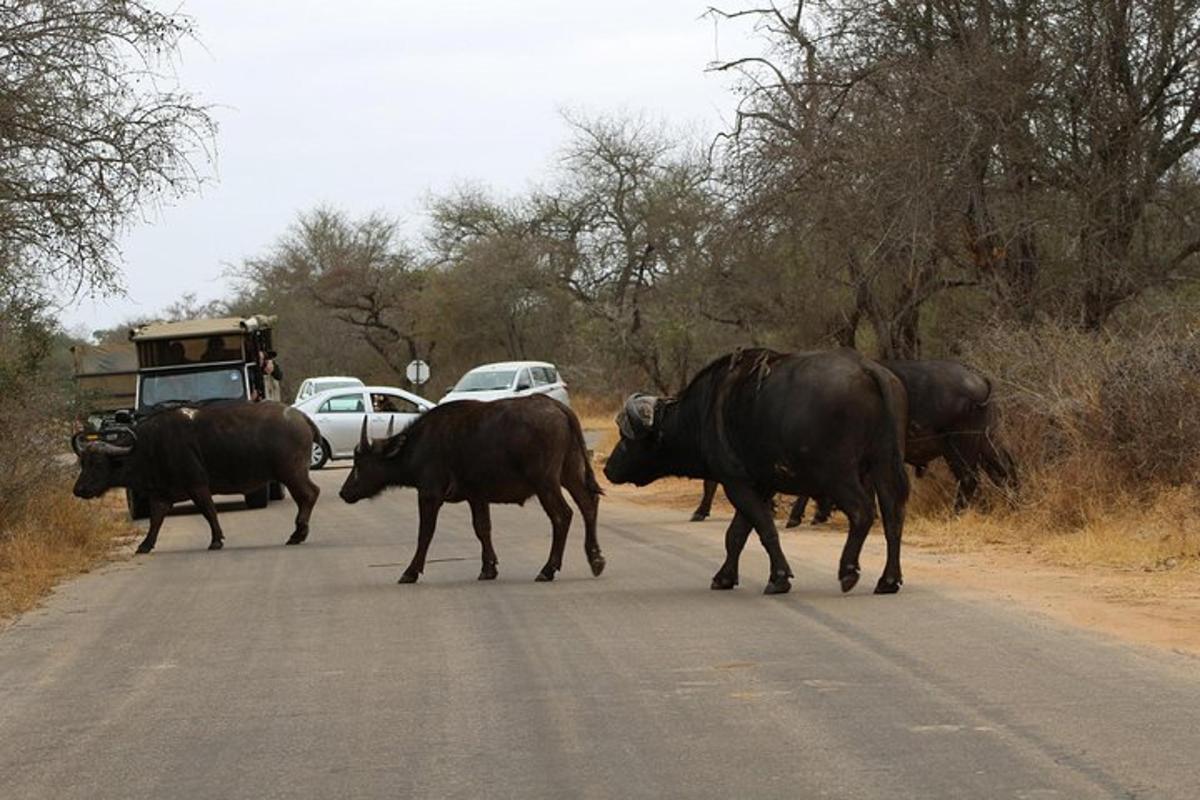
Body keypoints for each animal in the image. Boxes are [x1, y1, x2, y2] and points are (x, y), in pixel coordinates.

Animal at [73, 402, 321, 554]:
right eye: (82, 463)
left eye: (98, 464)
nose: (78, 490)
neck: (149, 446)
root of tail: (300, 416)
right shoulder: (161, 495)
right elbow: (156, 520)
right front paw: (145, 545)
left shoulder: (198, 486)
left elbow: (209, 512)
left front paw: (216, 540)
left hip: (292, 473)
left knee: (309, 494)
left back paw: (297, 534)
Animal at [338, 398, 604, 585]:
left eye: (360, 463)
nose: (344, 492)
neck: (419, 446)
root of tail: (559, 408)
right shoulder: (477, 497)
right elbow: (482, 529)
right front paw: (488, 568)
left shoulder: (429, 495)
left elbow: (425, 534)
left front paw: (410, 571)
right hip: (570, 473)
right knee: (588, 505)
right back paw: (596, 560)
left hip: (545, 482)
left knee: (563, 515)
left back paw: (548, 569)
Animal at [604, 347, 902, 594]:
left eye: (626, 438)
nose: (607, 468)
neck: (703, 412)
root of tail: (869, 369)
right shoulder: (762, 485)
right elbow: (736, 534)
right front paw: (724, 577)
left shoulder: (736, 483)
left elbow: (763, 529)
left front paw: (779, 577)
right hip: (884, 466)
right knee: (893, 519)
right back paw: (888, 580)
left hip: (837, 475)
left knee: (862, 512)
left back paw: (848, 571)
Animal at [691, 357, 1017, 522]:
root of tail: (980, 379)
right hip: (986, 440)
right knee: (1006, 469)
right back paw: (1012, 505)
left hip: (958, 444)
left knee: (970, 478)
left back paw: (956, 515)